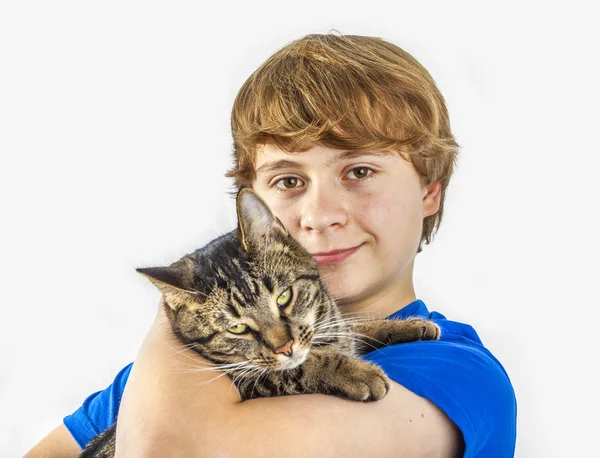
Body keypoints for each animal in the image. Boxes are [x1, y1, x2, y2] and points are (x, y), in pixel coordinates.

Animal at [78, 188, 440, 456]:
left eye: (284, 297)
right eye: (238, 328)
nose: (286, 346)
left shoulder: (332, 325)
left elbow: (353, 325)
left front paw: (412, 324)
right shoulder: (250, 381)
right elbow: (300, 368)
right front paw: (357, 372)